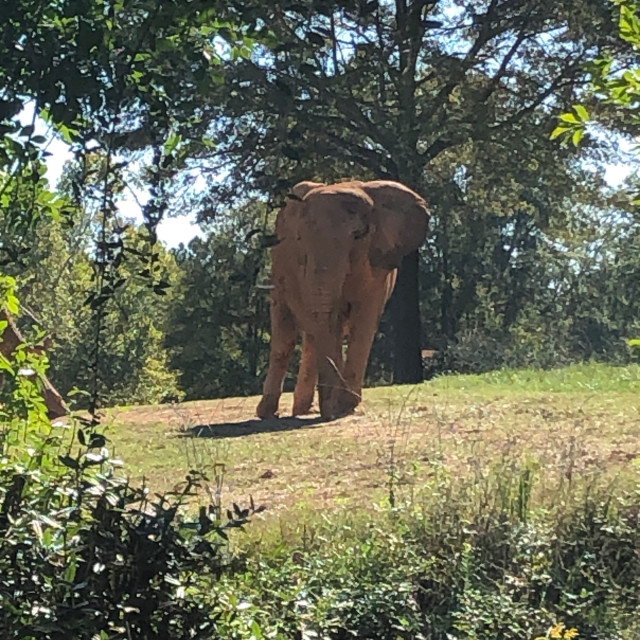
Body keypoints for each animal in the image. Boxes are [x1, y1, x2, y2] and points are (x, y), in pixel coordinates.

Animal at [256, 180, 430, 420]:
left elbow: (363, 321)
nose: (329, 412)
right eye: (299, 239)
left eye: (358, 235)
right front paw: (340, 406)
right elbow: (329, 322)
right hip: (279, 269)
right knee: (285, 336)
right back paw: (268, 412)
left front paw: (345, 406)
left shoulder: (378, 265)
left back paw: (304, 409)